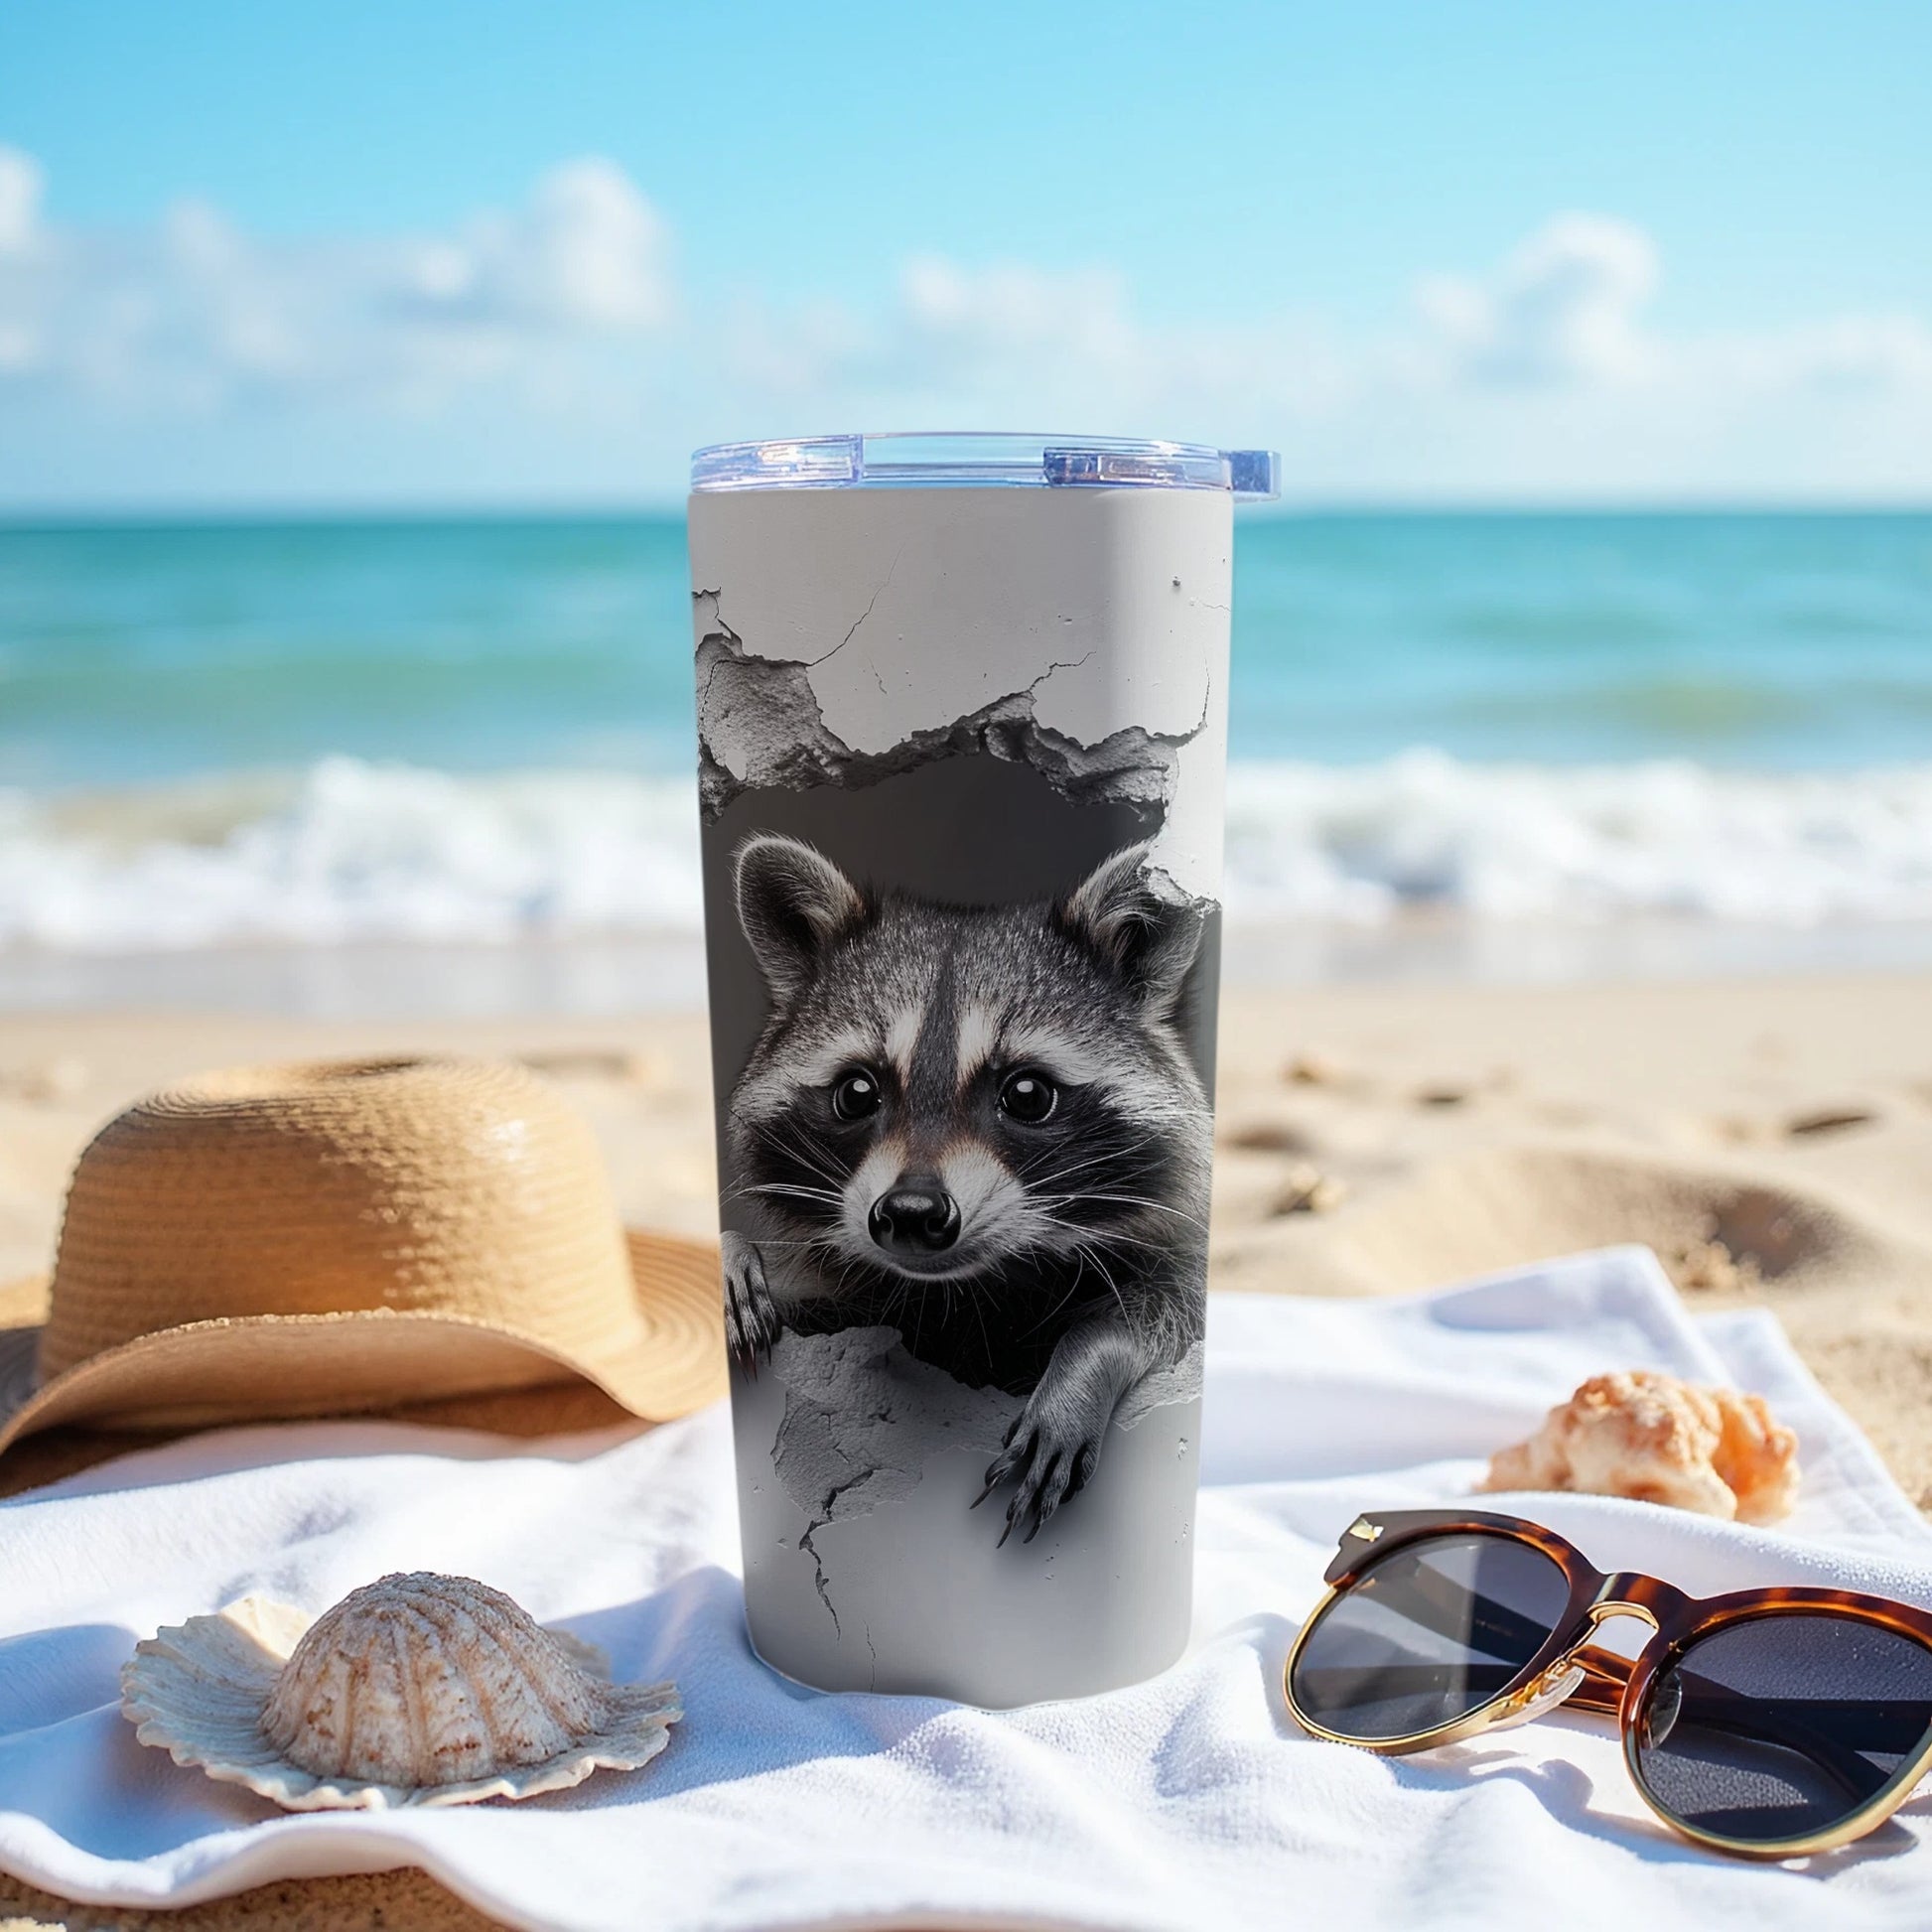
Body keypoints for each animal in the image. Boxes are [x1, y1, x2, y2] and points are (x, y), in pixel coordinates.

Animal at [721, 832, 1212, 1545]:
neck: (973, 1290)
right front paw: (729, 1252)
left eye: (1028, 1094)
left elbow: (1171, 1312)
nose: (911, 1212)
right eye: (856, 1092)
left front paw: (1086, 1360)